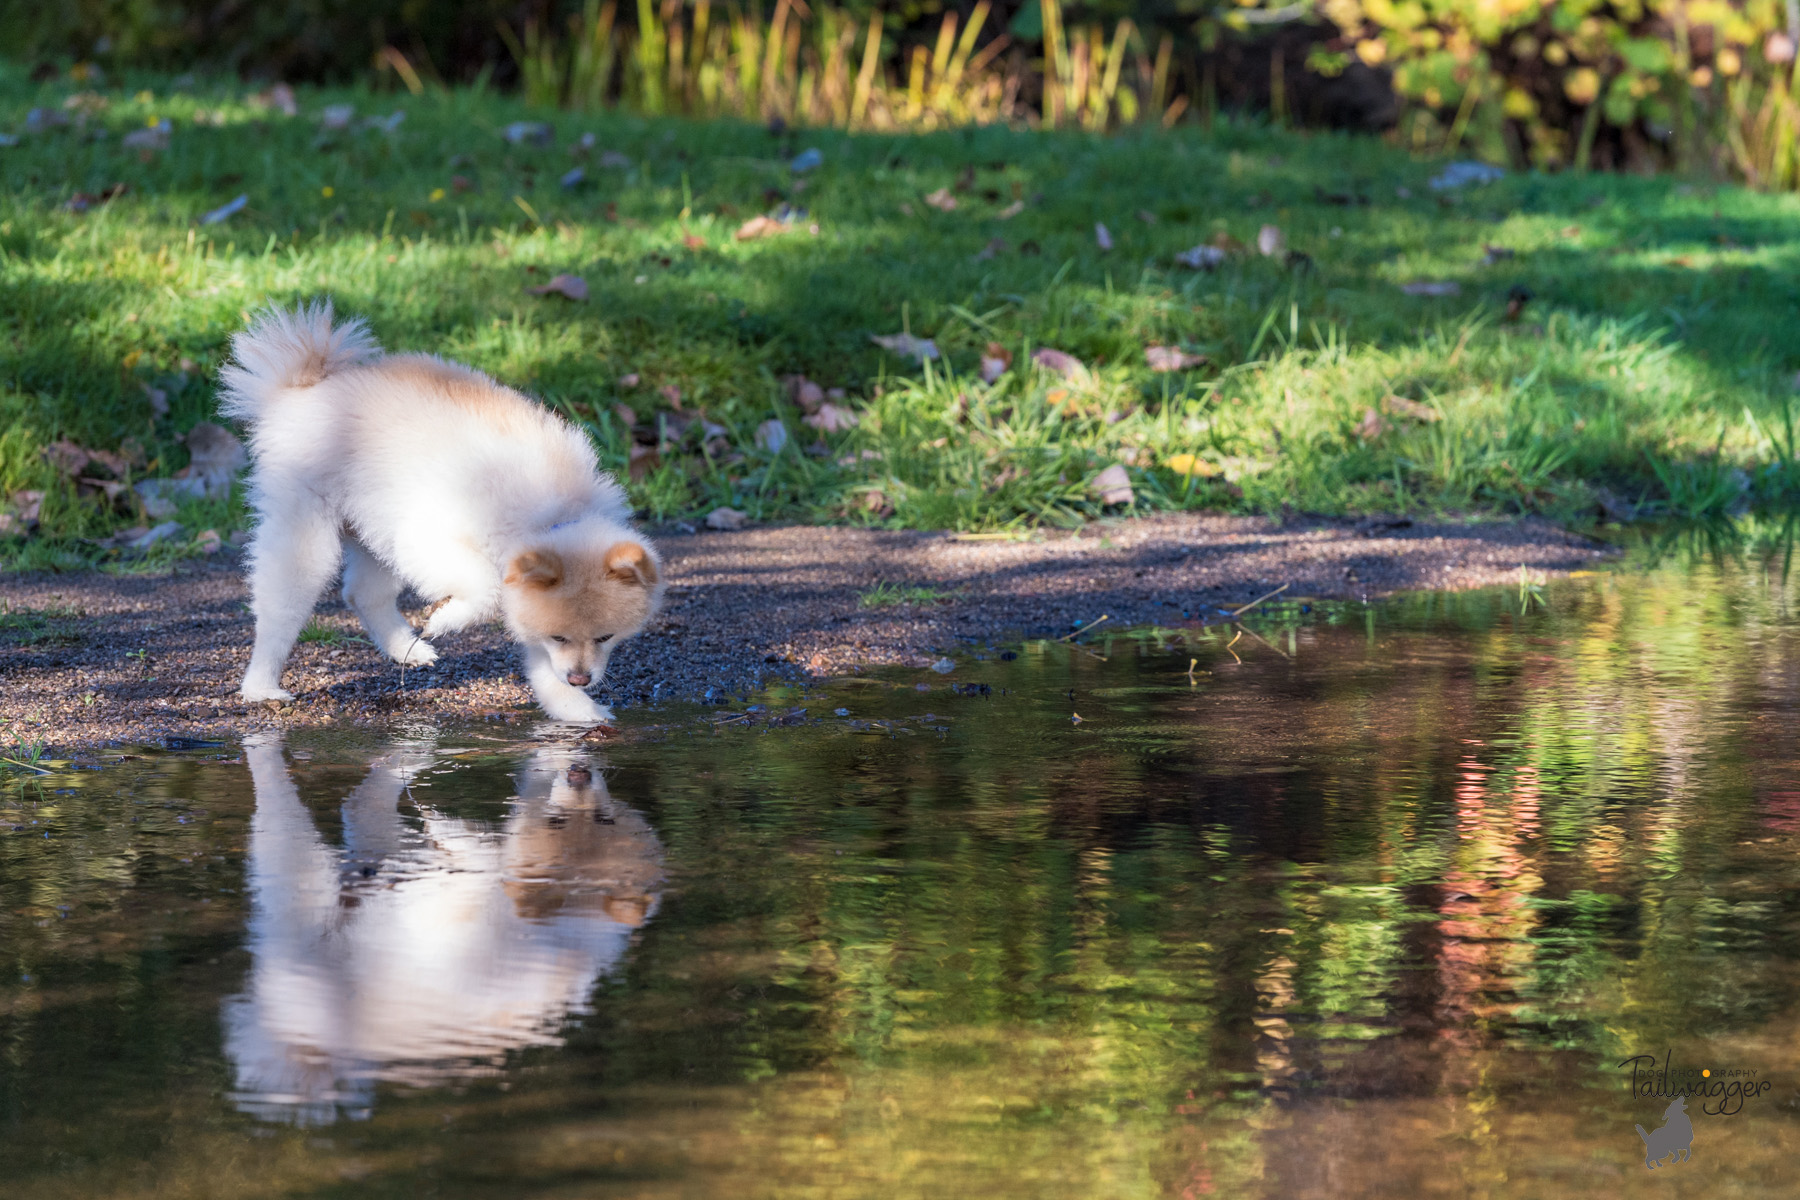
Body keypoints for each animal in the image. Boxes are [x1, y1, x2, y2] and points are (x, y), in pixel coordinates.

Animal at [220, 307, 662, 723]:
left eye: (605, 637)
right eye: (559, 637)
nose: (580, 678)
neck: (553, 516)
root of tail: (304, 386)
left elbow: (536, 659)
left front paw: (575, 710)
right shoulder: (435, 538)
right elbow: (487, 590)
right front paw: (448, 619)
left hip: (376, 530)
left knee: (362, 593)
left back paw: (406, 649)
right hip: (309, 534)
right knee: (280, 609)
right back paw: (261, 686)